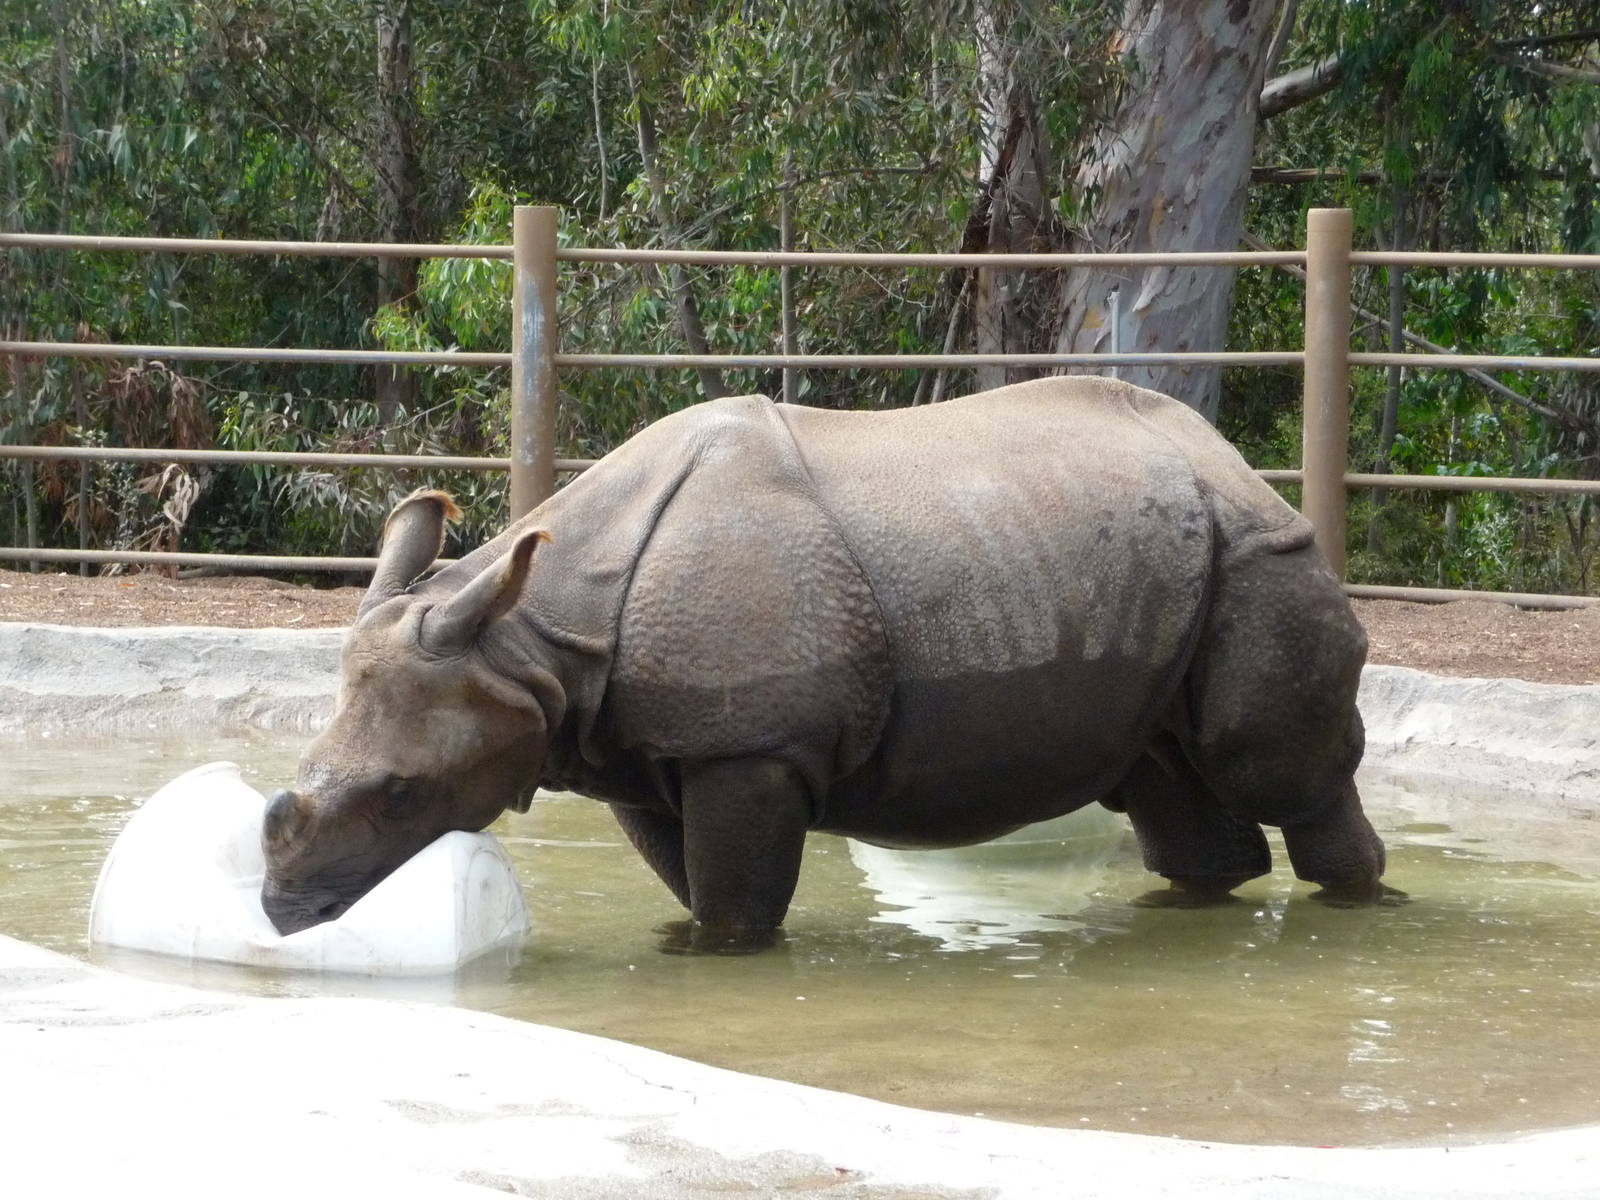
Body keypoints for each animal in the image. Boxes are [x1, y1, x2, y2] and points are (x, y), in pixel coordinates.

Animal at [262, 377, 1393, 950]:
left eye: (403, 795)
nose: (282, 910)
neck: (532, 639)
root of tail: (1228, 459)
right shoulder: (639, 750)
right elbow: (695, 885)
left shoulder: (751, 745)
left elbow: (732, 904)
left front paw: (722, 961)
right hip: (1149, 553)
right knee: (1161, 775)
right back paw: (1186, 913)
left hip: (1259, 556)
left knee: (1270, 765)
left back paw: (1355, 910)